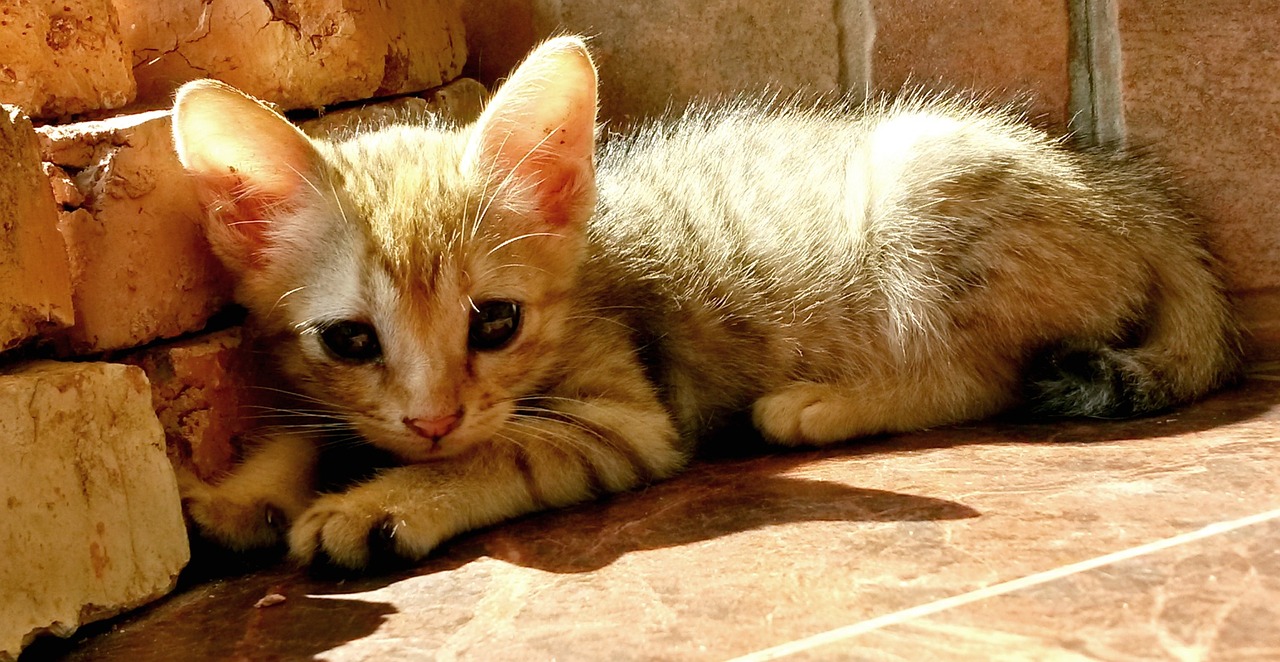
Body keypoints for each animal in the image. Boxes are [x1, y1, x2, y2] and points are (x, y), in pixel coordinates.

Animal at [170, 34, 1239, 568]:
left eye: (495, 322)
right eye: (350, 341)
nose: (432, 421)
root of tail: (1127, 193)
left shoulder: (624, 420)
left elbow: (504, 449)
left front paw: (386, 500)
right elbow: (305, 430)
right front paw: (239, 495)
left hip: (925, 193)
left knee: (982, 375)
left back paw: (822, 405)